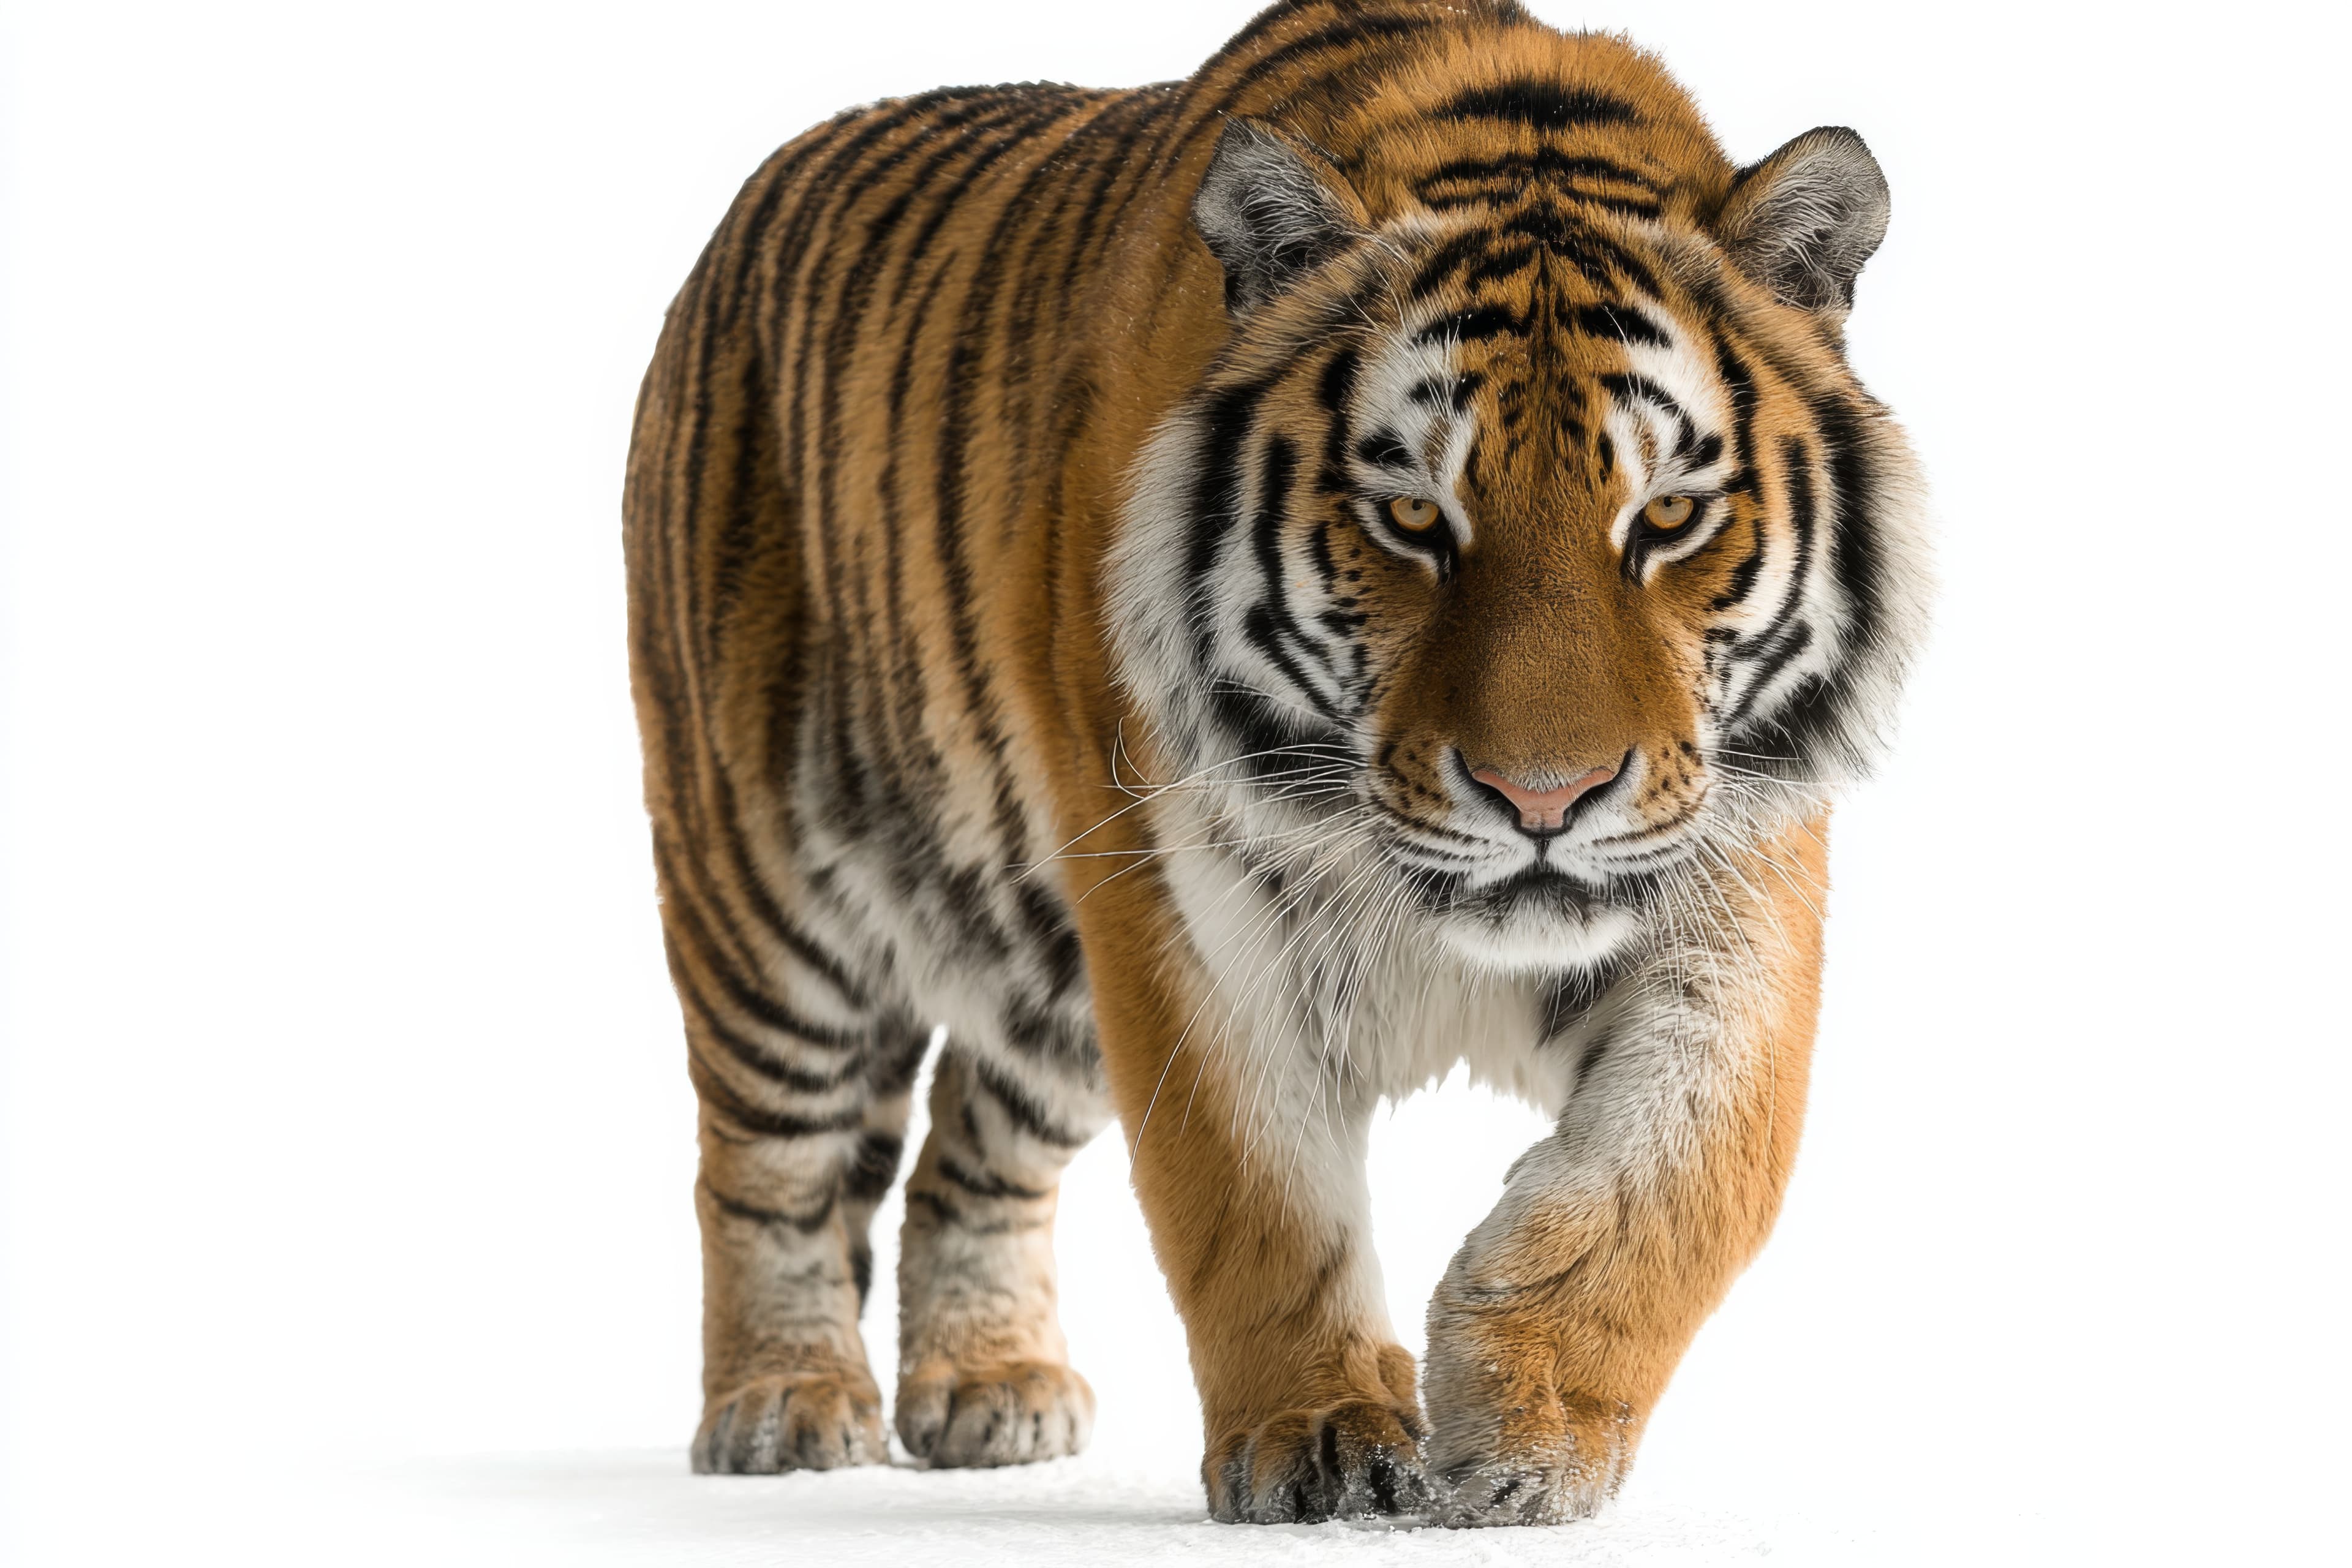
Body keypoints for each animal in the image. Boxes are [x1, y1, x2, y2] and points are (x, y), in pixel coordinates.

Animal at [622, 0, 1929, 1527]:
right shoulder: (1179, 906)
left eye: (1666, 517)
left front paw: (1523, 1427)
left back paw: (993, 1387)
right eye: (1414, 517)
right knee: (766, 1160)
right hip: (762, 885)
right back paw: (782, 1399)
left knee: (967, 1152)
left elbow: (1692, 1171)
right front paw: (1321, 1438)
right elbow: (1253, 1193)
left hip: (1041, 978)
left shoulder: (1738, 882)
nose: (1543, 799)